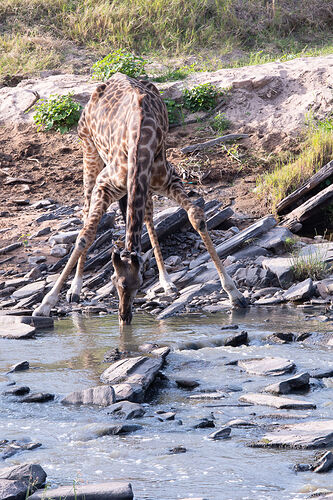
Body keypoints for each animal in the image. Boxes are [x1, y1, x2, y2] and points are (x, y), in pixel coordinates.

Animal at [33, 73, 246, 324]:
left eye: (138, 285)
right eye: (114, 282)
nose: (124, 317)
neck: (140, 143)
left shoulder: (166, 179)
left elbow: (195, 216)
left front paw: (234, 293)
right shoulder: (105, 184)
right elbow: (86, 235)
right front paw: (45, 305)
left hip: (143, 187)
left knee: (147, 218)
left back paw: (167, 281)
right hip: (89, 151)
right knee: (85, 212)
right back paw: (75, 289)